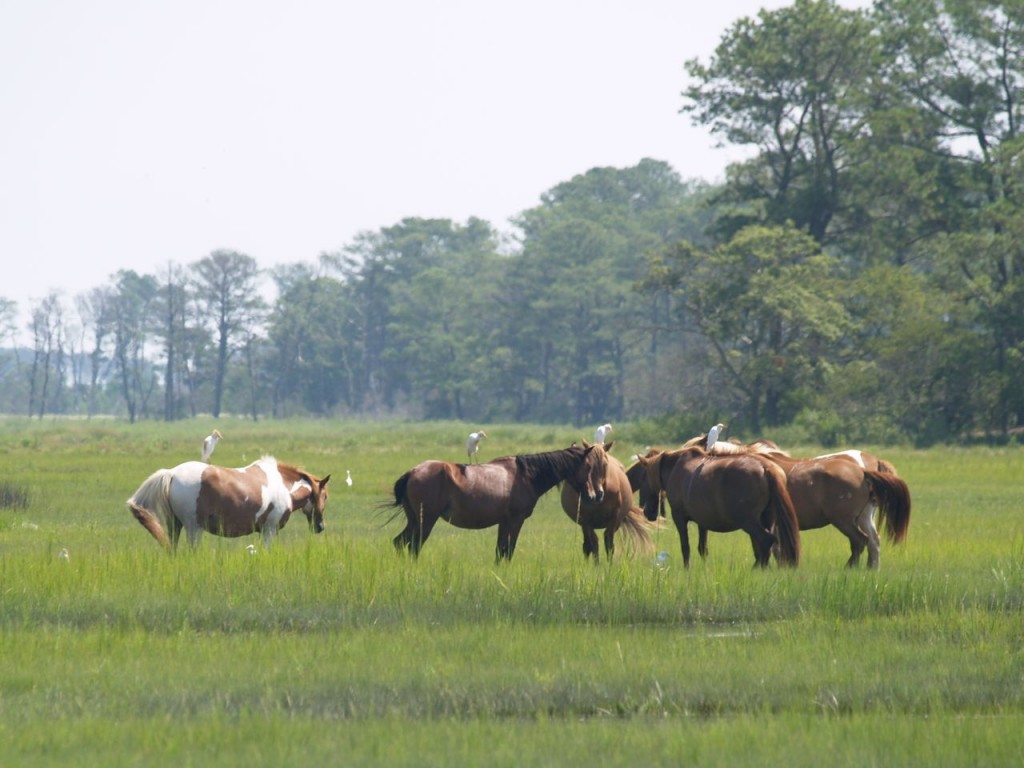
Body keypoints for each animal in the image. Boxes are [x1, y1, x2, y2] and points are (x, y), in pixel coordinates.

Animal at [125, 456, 329, 552]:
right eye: (325, 496)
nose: (320, 527)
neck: (282, 485)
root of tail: (172, 473)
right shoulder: (269, 530)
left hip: (175, 525)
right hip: (194, 529)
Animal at [389, 442, 602, 561]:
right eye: (589, 467)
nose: (593, 496)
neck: (525, 475)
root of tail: (412, 472)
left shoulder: (504, 522)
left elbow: (501, 551)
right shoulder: (516, 521)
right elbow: (509, 550)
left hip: (414, 520)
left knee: (400, 542)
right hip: (426, 521)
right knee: (414, 546)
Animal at [630, 442, 798, 569]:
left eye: (643, 478)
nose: (647, 512)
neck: (675, 468)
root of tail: (765, 468)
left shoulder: (679, 518)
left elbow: (686, 547)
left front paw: (687, 569)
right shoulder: (702, 522)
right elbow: (702, 548)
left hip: (749, 522)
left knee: (765, 540)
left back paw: (756, 569)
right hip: (768, 519)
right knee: (769, 546)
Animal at [712, 442, 913, 569]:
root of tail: (865, 470)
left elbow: (775, 547)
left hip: (844, 520)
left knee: (860, 541)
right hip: (863, 517)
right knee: (873, 541)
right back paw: (871, 569)